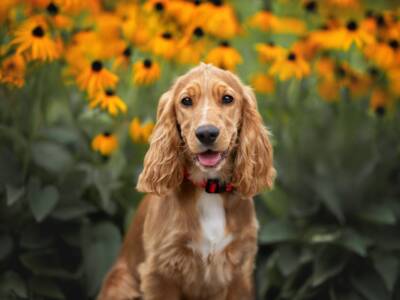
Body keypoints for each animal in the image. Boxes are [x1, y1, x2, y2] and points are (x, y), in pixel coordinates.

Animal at [98, 63, 276, 300]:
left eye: (227, 98)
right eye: (186, 101)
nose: (207, 133)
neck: (209, 189)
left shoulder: (240, 270)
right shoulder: (160, 272)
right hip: (120, 283)